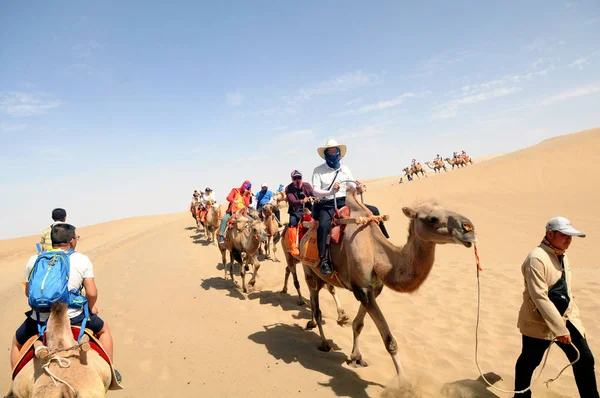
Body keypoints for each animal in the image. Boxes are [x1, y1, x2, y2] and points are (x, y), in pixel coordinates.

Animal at [298, 187, 476, 376]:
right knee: (316, 304)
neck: (376, 251)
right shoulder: (362, 289)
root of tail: (306, 232)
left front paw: (356, 358)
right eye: (431, 219)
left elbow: (358, 324)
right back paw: (324, 343)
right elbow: (390, 341)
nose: (468, 227)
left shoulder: (374, 288)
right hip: (309, 270)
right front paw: (404, 381)